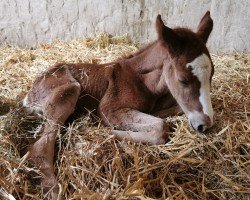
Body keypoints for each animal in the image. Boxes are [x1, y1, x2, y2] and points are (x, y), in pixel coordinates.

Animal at [23, 11, 213, 197]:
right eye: (183, 80)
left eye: (212, 75)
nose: (206, 124)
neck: (142, 80)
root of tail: (29, 94)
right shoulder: (109, 109)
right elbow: (160, 127)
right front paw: (97, 131)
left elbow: (172, 111)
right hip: (70, 89)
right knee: (38, 148)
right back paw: (53, 188)